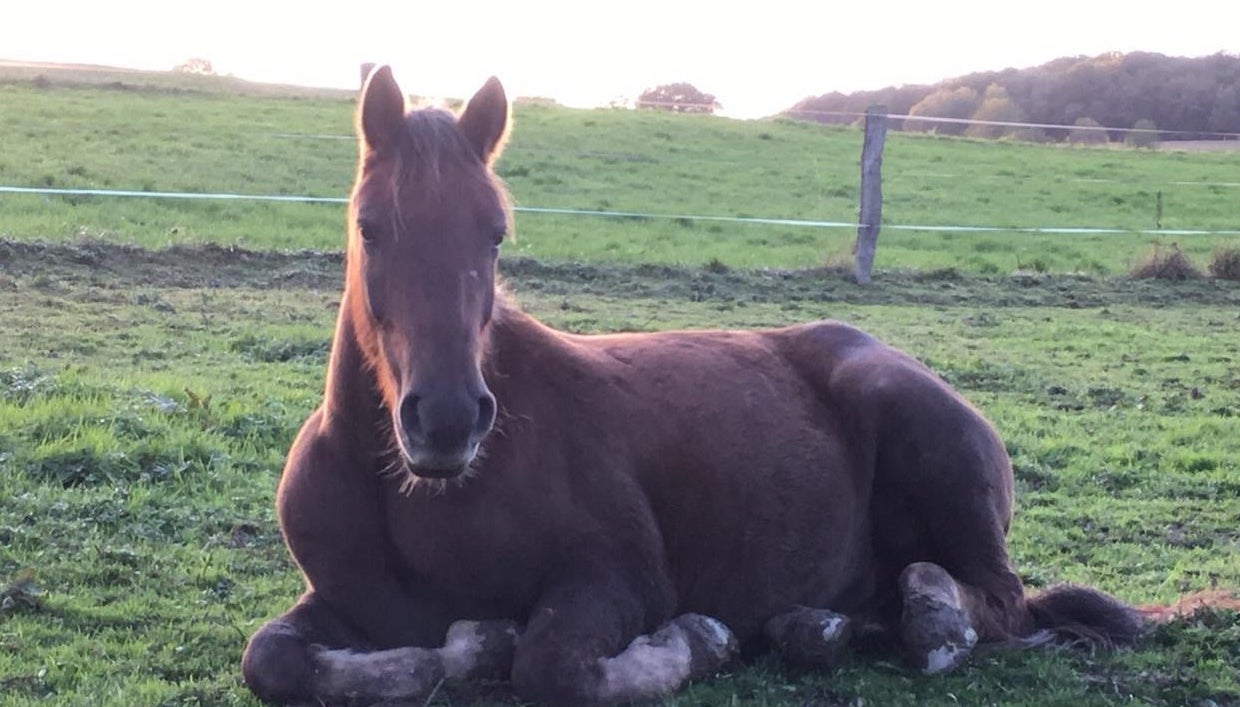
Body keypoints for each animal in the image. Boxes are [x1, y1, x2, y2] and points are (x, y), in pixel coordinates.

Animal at [239, 67, 1140, 704]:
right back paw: (818, 625)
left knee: (993, 602)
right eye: (368, 227)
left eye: (494, 233)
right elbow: (273, 659)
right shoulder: (339, 600)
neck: (417, 501)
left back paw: (926, 615)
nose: (450, 420)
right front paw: (470, 645)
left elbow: (553, 667)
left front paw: (696, 642)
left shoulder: (623, 576)